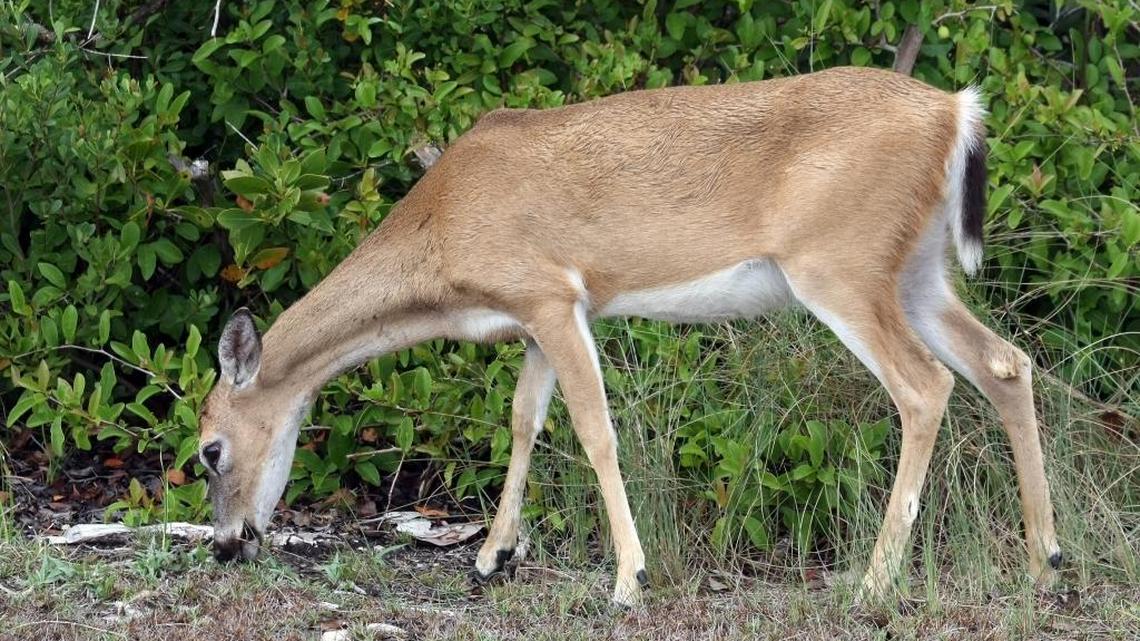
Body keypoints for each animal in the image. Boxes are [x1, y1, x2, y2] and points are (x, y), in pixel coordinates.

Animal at [196, 66, 1062, 607]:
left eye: (210, 448)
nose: (227, 544)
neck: (441, 236)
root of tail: (956, 110)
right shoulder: (538, 315)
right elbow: (524, 419)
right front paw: (492, 556)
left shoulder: (551, 292)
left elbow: (593, 429)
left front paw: (628, 579)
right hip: (915, 271)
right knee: (1005, 362)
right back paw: (1044, 562)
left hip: (840, 264)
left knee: (926, 385)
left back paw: (876, 580)